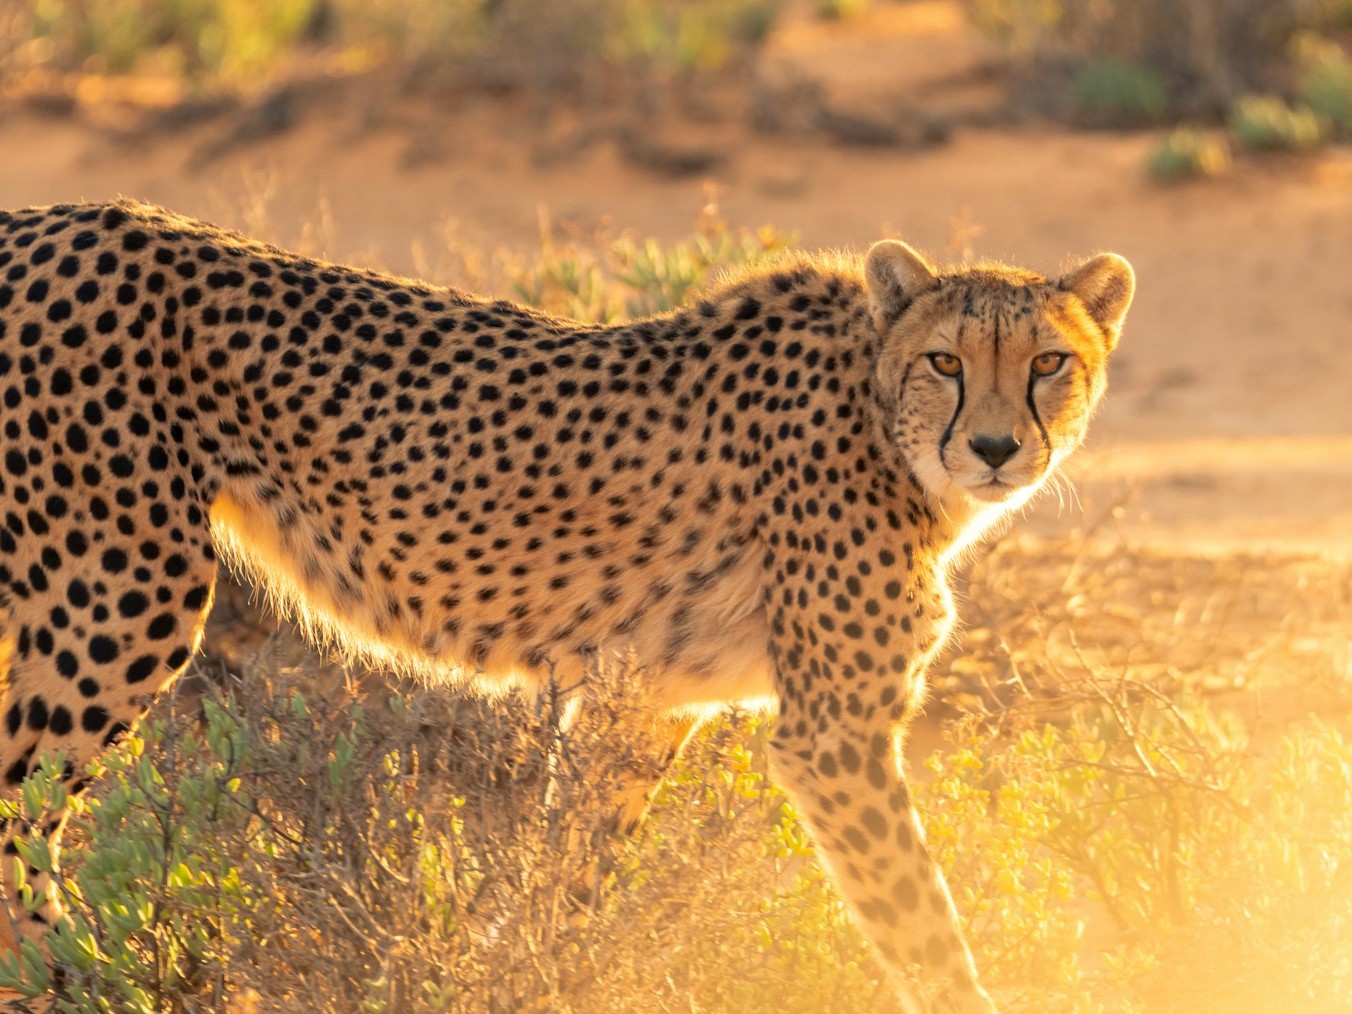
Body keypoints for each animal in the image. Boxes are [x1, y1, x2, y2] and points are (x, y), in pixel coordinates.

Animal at [0, 198, 1132, 1011]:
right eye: (945, 360)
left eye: (1048, 363)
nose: (995, 447)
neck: (878, 415)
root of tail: (46, 218)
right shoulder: (833, 735)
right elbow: (922, 924)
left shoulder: (648, 705)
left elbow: (570, 880)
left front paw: (525, 976)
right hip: (120, 592)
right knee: (21, 809)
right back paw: (81, 982)